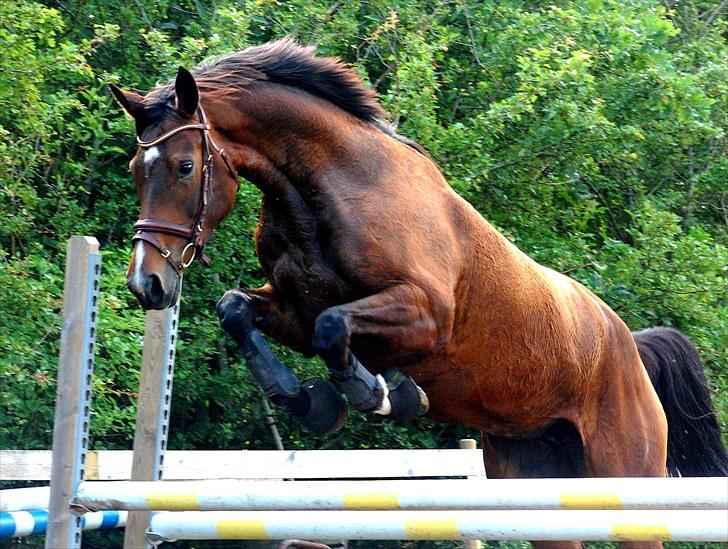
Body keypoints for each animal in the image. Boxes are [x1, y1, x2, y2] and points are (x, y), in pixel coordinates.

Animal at [109, 39, 728, 548]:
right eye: (137, 170)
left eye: (185, 167)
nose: (147, 284)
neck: (326, 190)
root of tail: (629, 348)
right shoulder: (292, 308)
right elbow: (238, 310)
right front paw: (308, 399)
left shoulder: (426, 316)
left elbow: (334, 327)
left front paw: (378, 392)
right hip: (533, 476)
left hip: (627, 477)